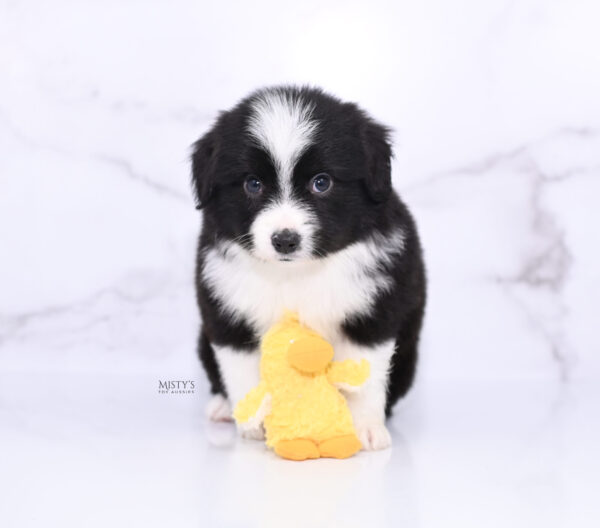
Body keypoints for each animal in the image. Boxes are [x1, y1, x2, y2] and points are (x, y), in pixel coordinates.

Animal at [192, 86, 426, 450]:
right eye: (252, 184)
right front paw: (256, 424)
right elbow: (242, 369)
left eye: (322, 182)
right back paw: (220, 407)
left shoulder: (373, 311)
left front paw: (363, 428)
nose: (285, 240)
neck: (297, 273)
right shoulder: (228, 309)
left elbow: (362, 375)